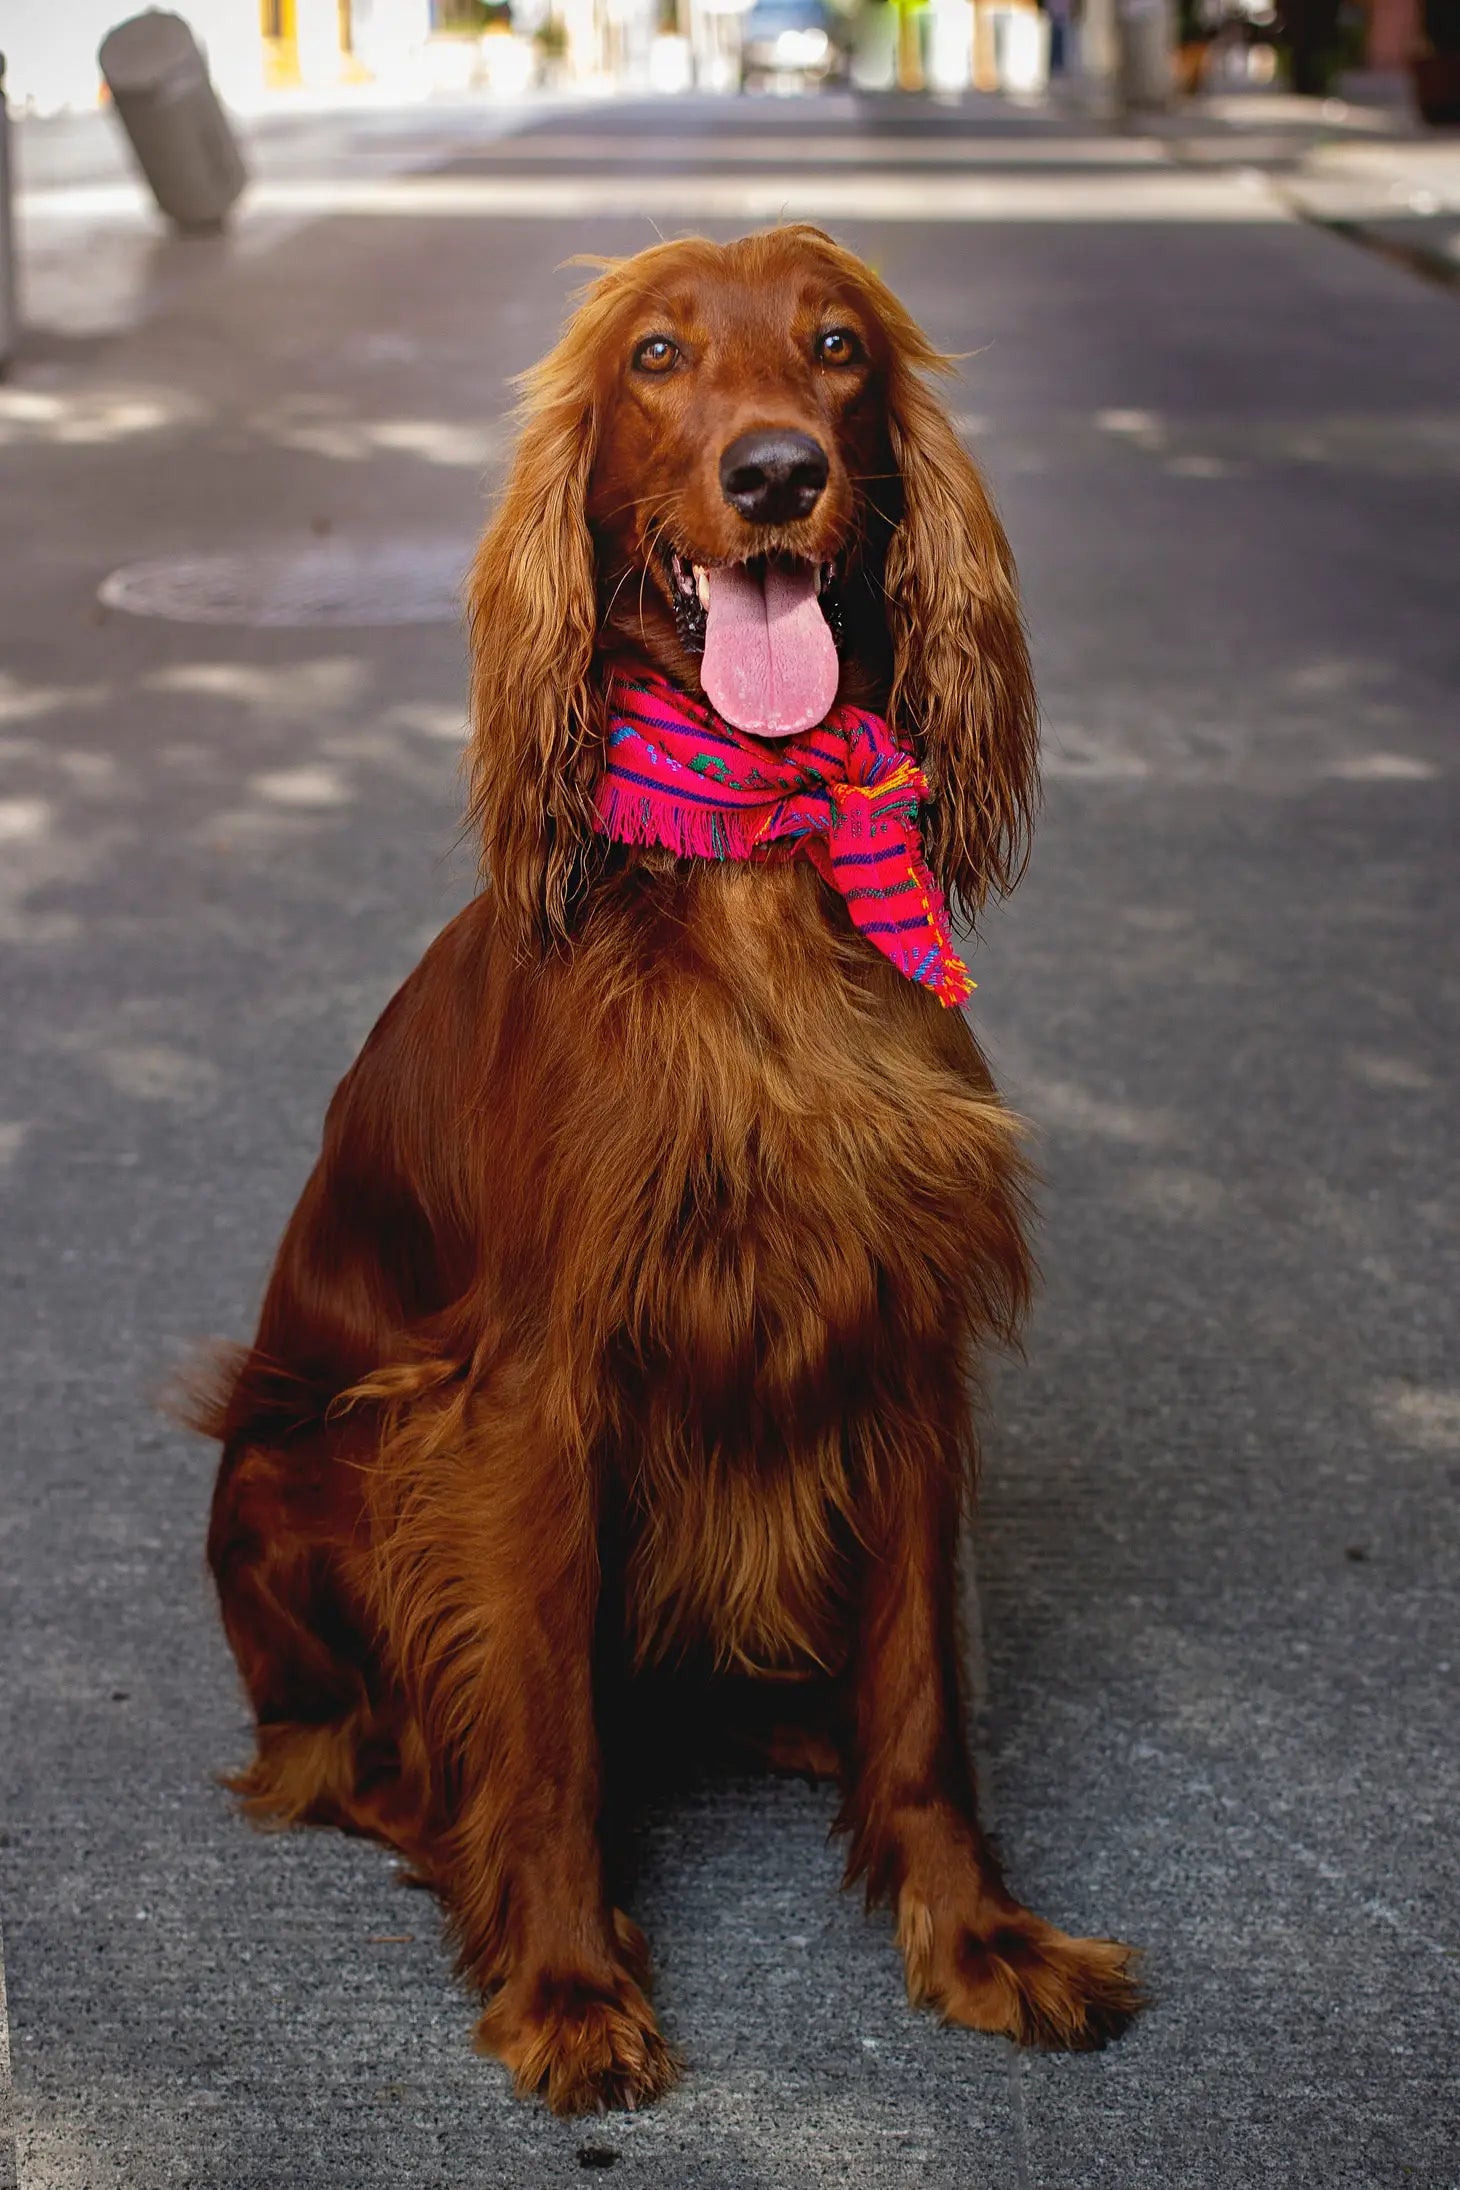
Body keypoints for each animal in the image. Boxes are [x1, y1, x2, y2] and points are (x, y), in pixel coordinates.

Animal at [202, 231, 1138, 2111]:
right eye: (654, 355)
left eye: (838, 347)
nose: (776, 472)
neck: (758, 848)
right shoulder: (532, 1399)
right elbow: (547, 1729)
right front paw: (566, 1980)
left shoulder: (900, 1342)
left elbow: (927, 1697)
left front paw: (976, 1936)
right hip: (327, 1467)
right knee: (340, 1751)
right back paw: (455, 1838)